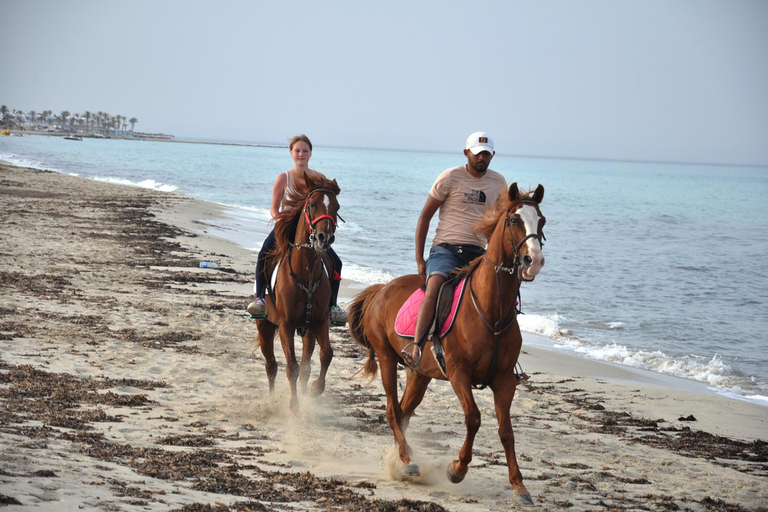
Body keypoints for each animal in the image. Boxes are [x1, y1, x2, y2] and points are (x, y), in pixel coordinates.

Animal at [255, 172, 342, 412]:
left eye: (337, 207)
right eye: (312, 205)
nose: (325, 238)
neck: (306, 272)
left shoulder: (319, 322)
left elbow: (326, 354)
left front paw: (314, 390)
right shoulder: (285, 324)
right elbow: (291, 366)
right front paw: (294, 406)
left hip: (308, 331)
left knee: (305, 365)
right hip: (265, 326)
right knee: (271, 365)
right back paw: (272, 401)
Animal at [348, 182, 544, 506]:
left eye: (541, 221)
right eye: (514, 220)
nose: (534, 261)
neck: (490, 310)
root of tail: (381, 290)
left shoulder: (504, 381)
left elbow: (506, 432)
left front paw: (519, 486)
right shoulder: (457, 373)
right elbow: (474, 418)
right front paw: (457, 469)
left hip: (419, 374)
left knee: (403, 412)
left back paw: (401, 460)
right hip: (387, 358)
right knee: (392, 411)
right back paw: (407, 462)